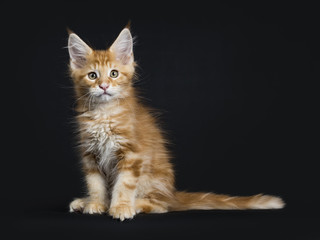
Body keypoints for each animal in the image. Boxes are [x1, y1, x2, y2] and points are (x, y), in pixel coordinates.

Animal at [67, 26, 284, 221]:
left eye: (114, 73)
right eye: (92, 76)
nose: (103, 86)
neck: (104, 114)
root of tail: (172, 194)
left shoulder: (132, 154)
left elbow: (124, 185)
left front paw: (121, 207)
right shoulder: (90, 154)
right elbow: (95, 184)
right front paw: (96, 203)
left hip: (154, 180)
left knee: (161, 205)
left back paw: (135, 204)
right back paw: (85, 202)